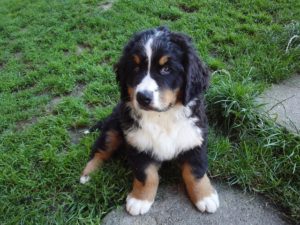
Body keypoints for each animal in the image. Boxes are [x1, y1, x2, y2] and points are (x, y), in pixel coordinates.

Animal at [81, 26, 219, 216]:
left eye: (166, 69)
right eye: (136, 68)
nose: (142, 97)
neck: (163, 116)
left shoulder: (194, 137)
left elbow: (195, 172)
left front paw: (205, 197)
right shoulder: (138, 142)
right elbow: (147, 176)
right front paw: (140, 200)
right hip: (113, 129)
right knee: (100, 151)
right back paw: (87, 174)